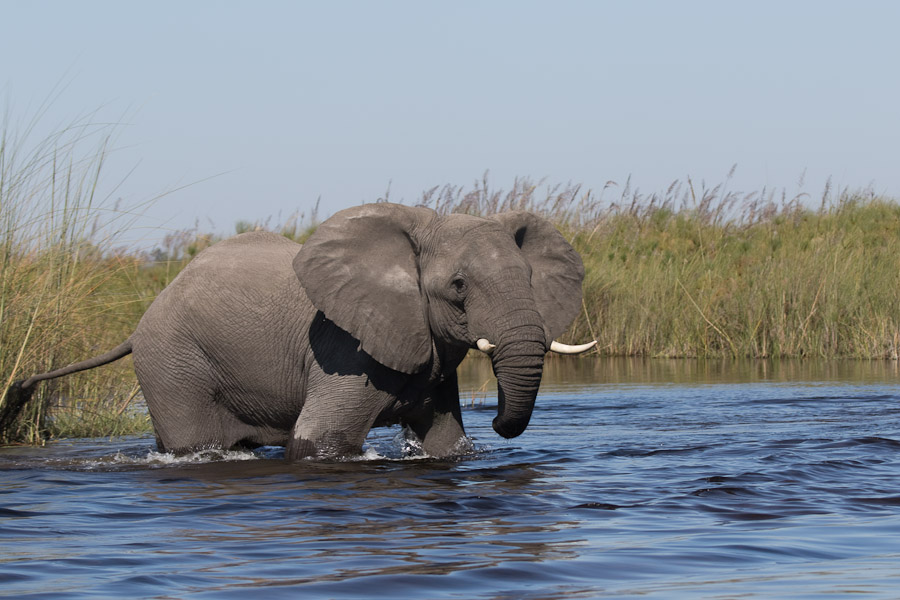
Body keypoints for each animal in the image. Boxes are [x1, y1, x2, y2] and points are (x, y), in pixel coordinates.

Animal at [10, 203, 596, 460]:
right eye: (457, 286)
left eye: (529, 279)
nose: (496, 417)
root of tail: (138, 325)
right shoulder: (346, 349)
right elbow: (320, 440)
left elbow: (445, 441)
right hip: (172, 361)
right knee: (195, 443)